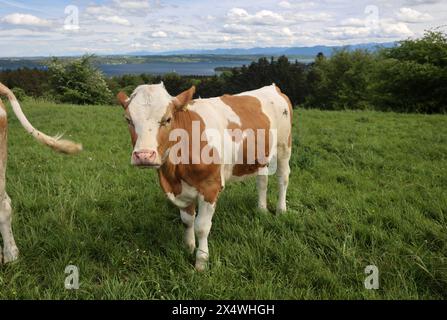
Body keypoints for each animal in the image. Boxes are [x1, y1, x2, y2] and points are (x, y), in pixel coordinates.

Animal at [118, 84, 294, 272]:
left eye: (167, 119)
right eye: (128, 120)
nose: (143, 155)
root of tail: (272, 87)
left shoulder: (210, 187)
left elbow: (201, 227)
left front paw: (201, 261)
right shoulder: (181, 190)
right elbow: (187, 221)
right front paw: (188, 247)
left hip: (284, 146)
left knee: (283, 178)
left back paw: (281, 210)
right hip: (260, 157)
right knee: (262, 181)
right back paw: (261, 209)